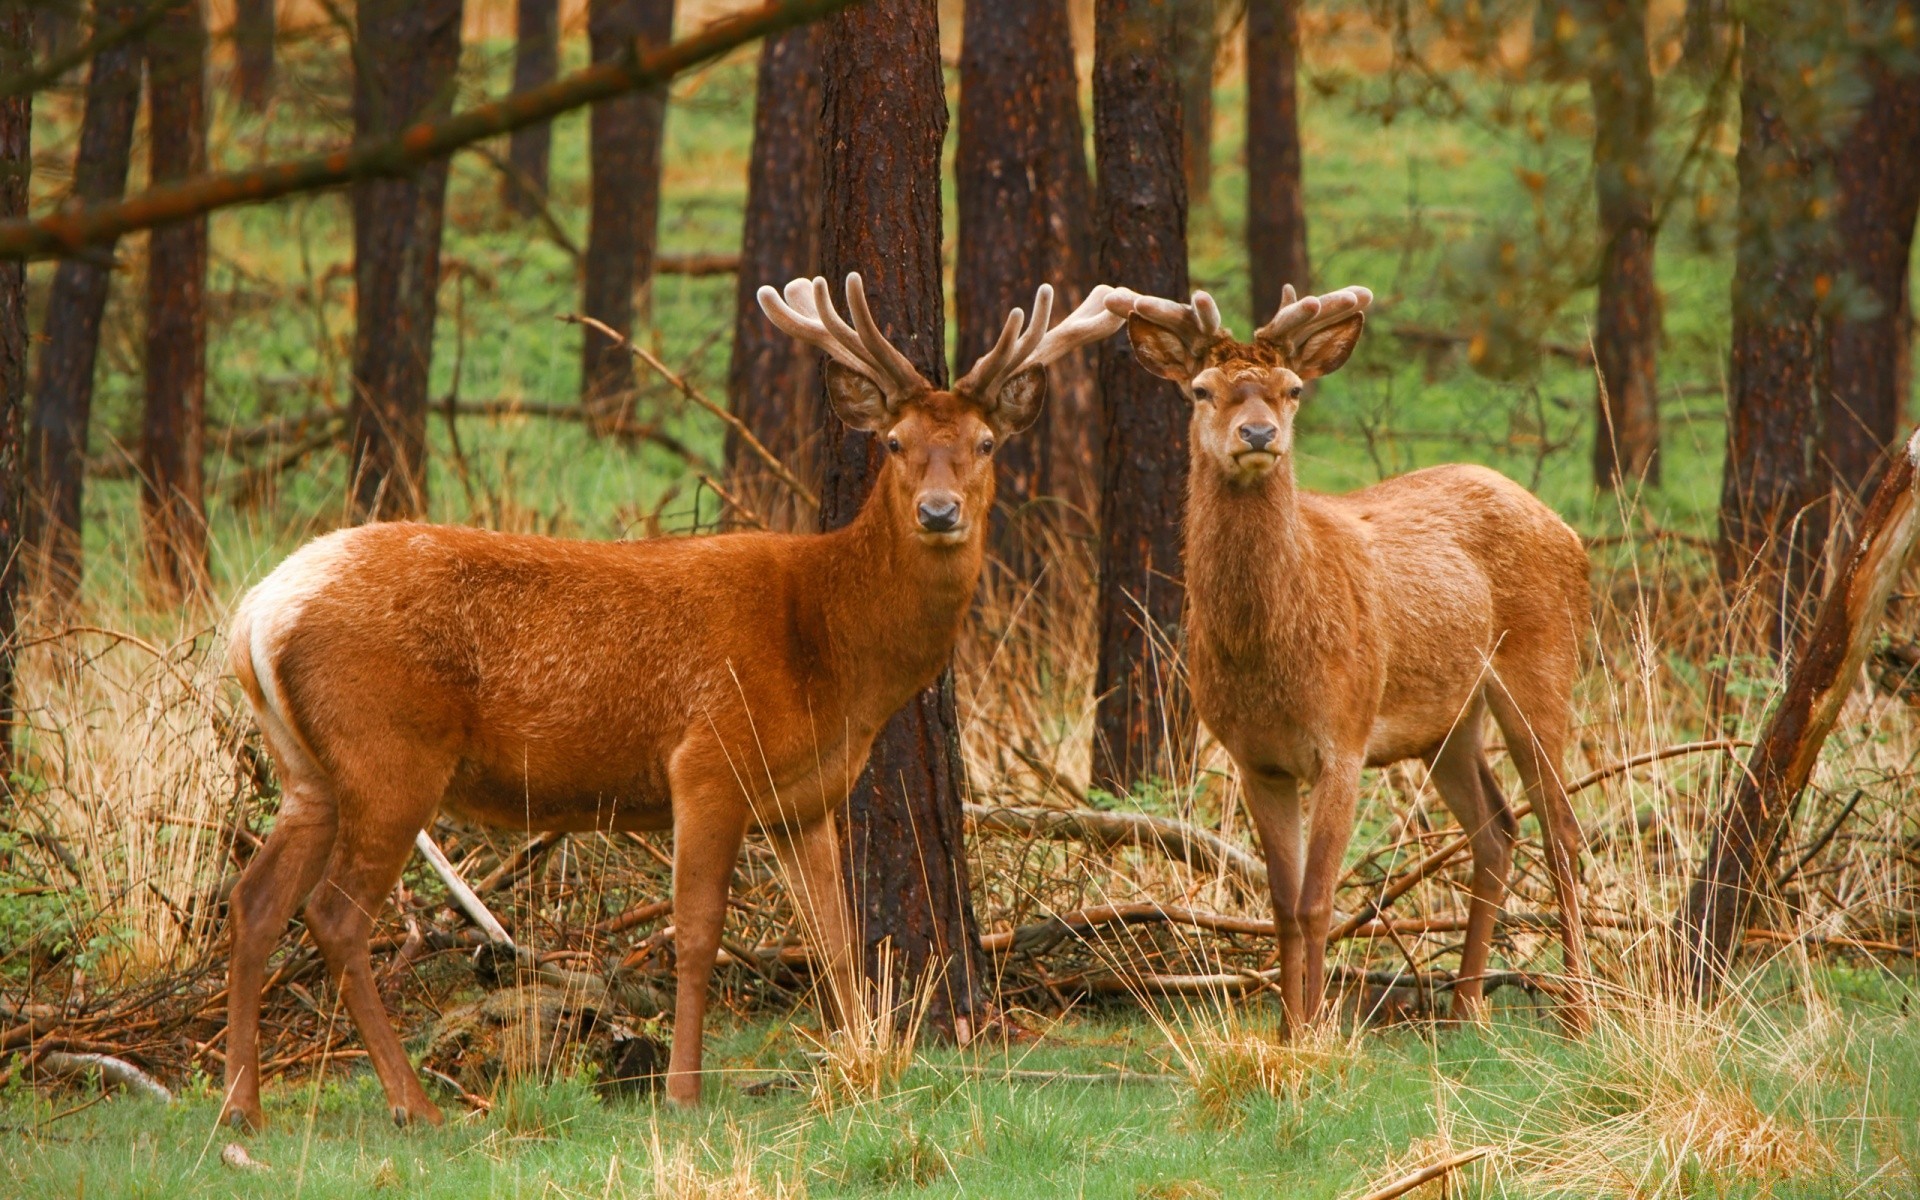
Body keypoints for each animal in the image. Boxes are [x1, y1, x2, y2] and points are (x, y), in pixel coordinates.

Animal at [219, 274, 1121, 1128]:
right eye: (895, 443)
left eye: (985, 443)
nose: (939, 512)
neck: (830, 654)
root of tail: (257, 610)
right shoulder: (709, 761)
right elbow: (696, 936)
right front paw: (685, 1091)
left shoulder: (804, 800)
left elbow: (835, 941)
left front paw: (864, 1067)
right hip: (390, 752)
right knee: (335, 916)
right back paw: (414, 1105)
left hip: (309, 770)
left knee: (256, 901)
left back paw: (242, 1106)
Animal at [1105, 286, 1597, 1036]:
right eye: (1200, 390)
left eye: (1292, 389)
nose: (1258, 435)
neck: (1267, 653)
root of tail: (1570, 532)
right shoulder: (1254, 758)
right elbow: (1282, 904)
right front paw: (1286, 1029)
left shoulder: (1344, 734)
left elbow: (1317, 900)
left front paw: (1314, 1031)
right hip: (1447, 721)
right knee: (1497, 827)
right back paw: (1463, 1007)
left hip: (1543, 665)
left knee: (1562, 828)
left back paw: (1577, 1012)